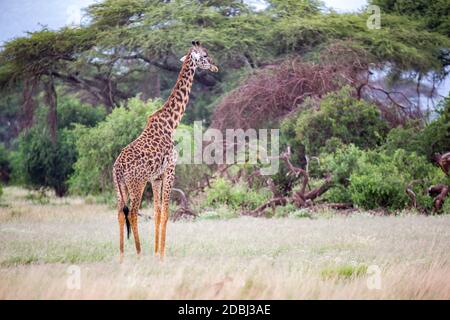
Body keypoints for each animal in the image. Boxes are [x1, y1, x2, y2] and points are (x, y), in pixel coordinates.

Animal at [112, 40, 218, 260]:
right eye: (204, 55)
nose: (215, 67)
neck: (171, 124)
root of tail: (117, 168)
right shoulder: (170, 169)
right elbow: (167, 212)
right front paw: (161, 255)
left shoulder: (156, 177)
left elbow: (157, 212)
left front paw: (156, 252)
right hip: (137, 184)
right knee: (132, 212)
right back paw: (138, 252)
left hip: (120, 187)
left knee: (120, 213)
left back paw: (121, 256)